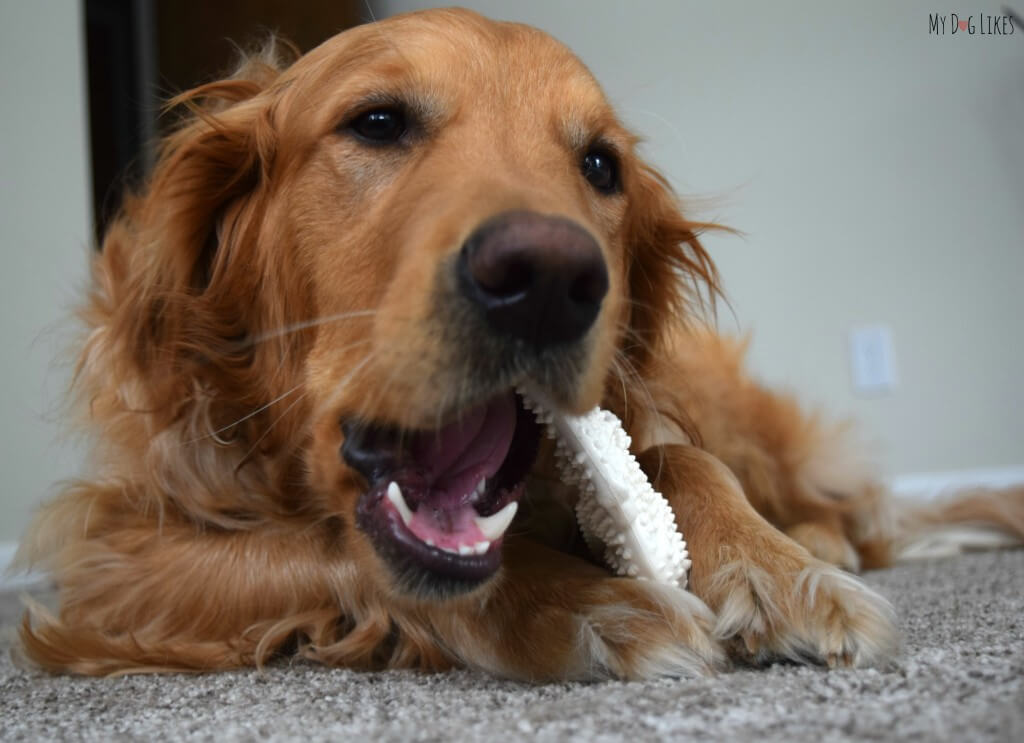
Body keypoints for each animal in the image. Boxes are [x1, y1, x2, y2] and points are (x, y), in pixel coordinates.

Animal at [18, 7, 1024, 679]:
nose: (549, 280)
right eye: (377, 121)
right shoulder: (114, 556)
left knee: (833, 504)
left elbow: (682, 461)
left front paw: (777, 570)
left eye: (600, 165)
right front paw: (590, 600)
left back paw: (821, 540)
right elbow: (328, 541)